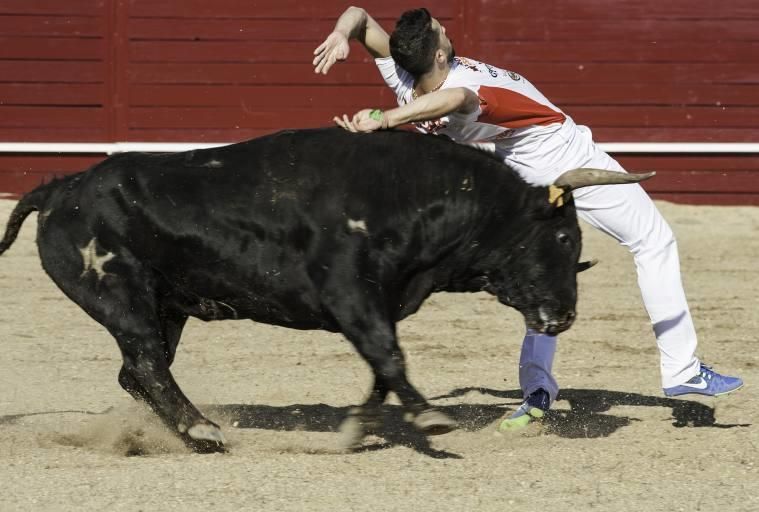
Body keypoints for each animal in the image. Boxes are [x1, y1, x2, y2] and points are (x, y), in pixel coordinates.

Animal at [0, 128, 652, 452]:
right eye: (564, 237)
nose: (562, 316)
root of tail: (60, 188)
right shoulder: (351, 296)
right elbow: (389, 356)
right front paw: (431, 420)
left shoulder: (378, 305)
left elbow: (381, 369)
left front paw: (356, 429)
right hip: (123, 299)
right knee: (147, 366)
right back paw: (203, 431)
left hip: (167, 308)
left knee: (137, 372)